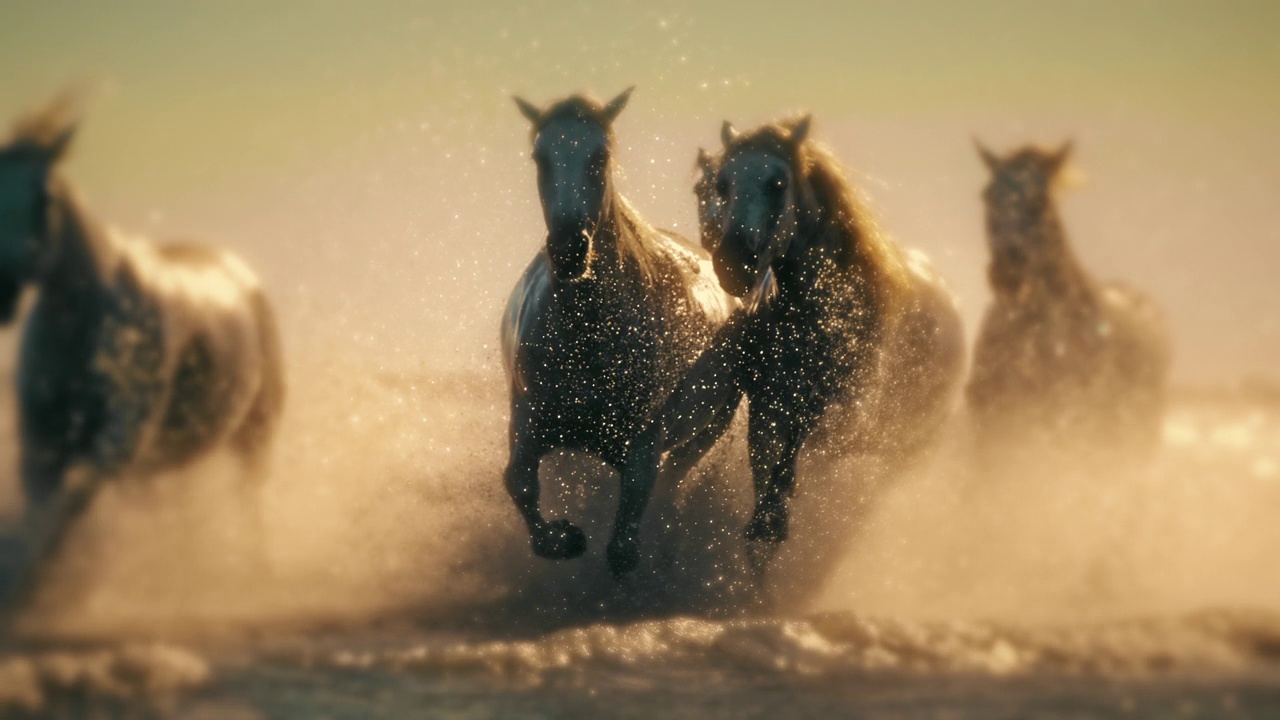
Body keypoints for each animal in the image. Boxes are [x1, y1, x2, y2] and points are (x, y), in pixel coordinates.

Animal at [0, 90, 285, 604]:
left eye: (43, 197)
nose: (0, 291)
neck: (83, 325)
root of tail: (238, 271)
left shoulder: (120, 437)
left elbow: (70, 510)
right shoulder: (41, 442)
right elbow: (42, 517)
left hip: (254, 433)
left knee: (250, 501)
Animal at [501, 87, 742, 573]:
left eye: (601, 155)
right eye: (540, 157)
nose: (569, 250)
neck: (588, 335)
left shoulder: (645, 447)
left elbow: (623, 544)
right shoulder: (527, 417)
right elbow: (519, 483)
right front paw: (565, 537)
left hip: (713, 425)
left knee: (674, 481)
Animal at [660, 117, 962, 571]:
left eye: (778, 183)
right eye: (723, 183)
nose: (732, 263)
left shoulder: (841, 420)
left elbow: (793, 453)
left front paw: (772, 523)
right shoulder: (766, 408)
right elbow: (765, 470)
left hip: (898, 458)